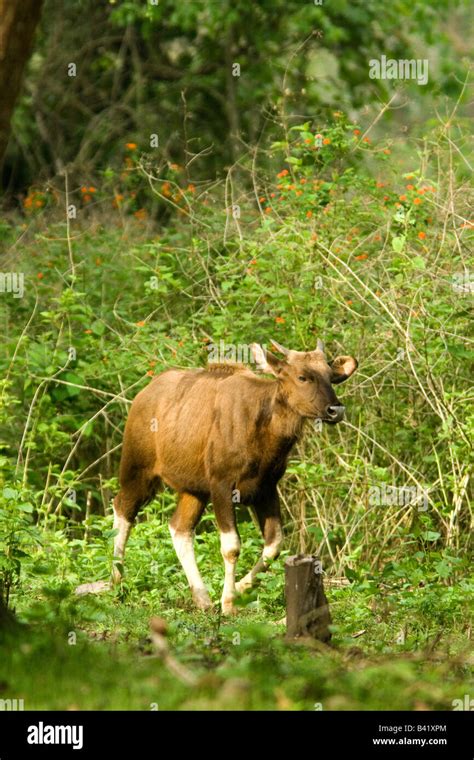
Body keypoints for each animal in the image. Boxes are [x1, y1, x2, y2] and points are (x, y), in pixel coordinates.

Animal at [112, 342, 356, 616]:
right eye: (302, 376)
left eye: (331, 376)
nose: (335, 410)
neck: (261, 429)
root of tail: (142, 396)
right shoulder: (222, 485)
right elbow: (231, 547)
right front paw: (228, 602)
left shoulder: (266, 488)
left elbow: (274, 545)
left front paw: (239, 589)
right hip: (137, 471)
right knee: (123, 509)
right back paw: (116, 582)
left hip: (194, 489)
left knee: (179, 528)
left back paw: (202, 598)